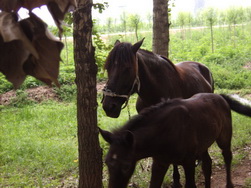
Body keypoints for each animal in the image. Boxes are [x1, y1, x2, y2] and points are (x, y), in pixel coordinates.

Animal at [99, 93, 251, 188]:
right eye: (106, 162)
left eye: (126, 166)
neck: (163, 132)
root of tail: (220, 96)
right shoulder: (160, 163)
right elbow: (154, 185)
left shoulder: (189, 162)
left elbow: (191, 185)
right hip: (203, 145)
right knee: (207, 164)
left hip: (223, 138)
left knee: (227, 156)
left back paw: (229, 184)